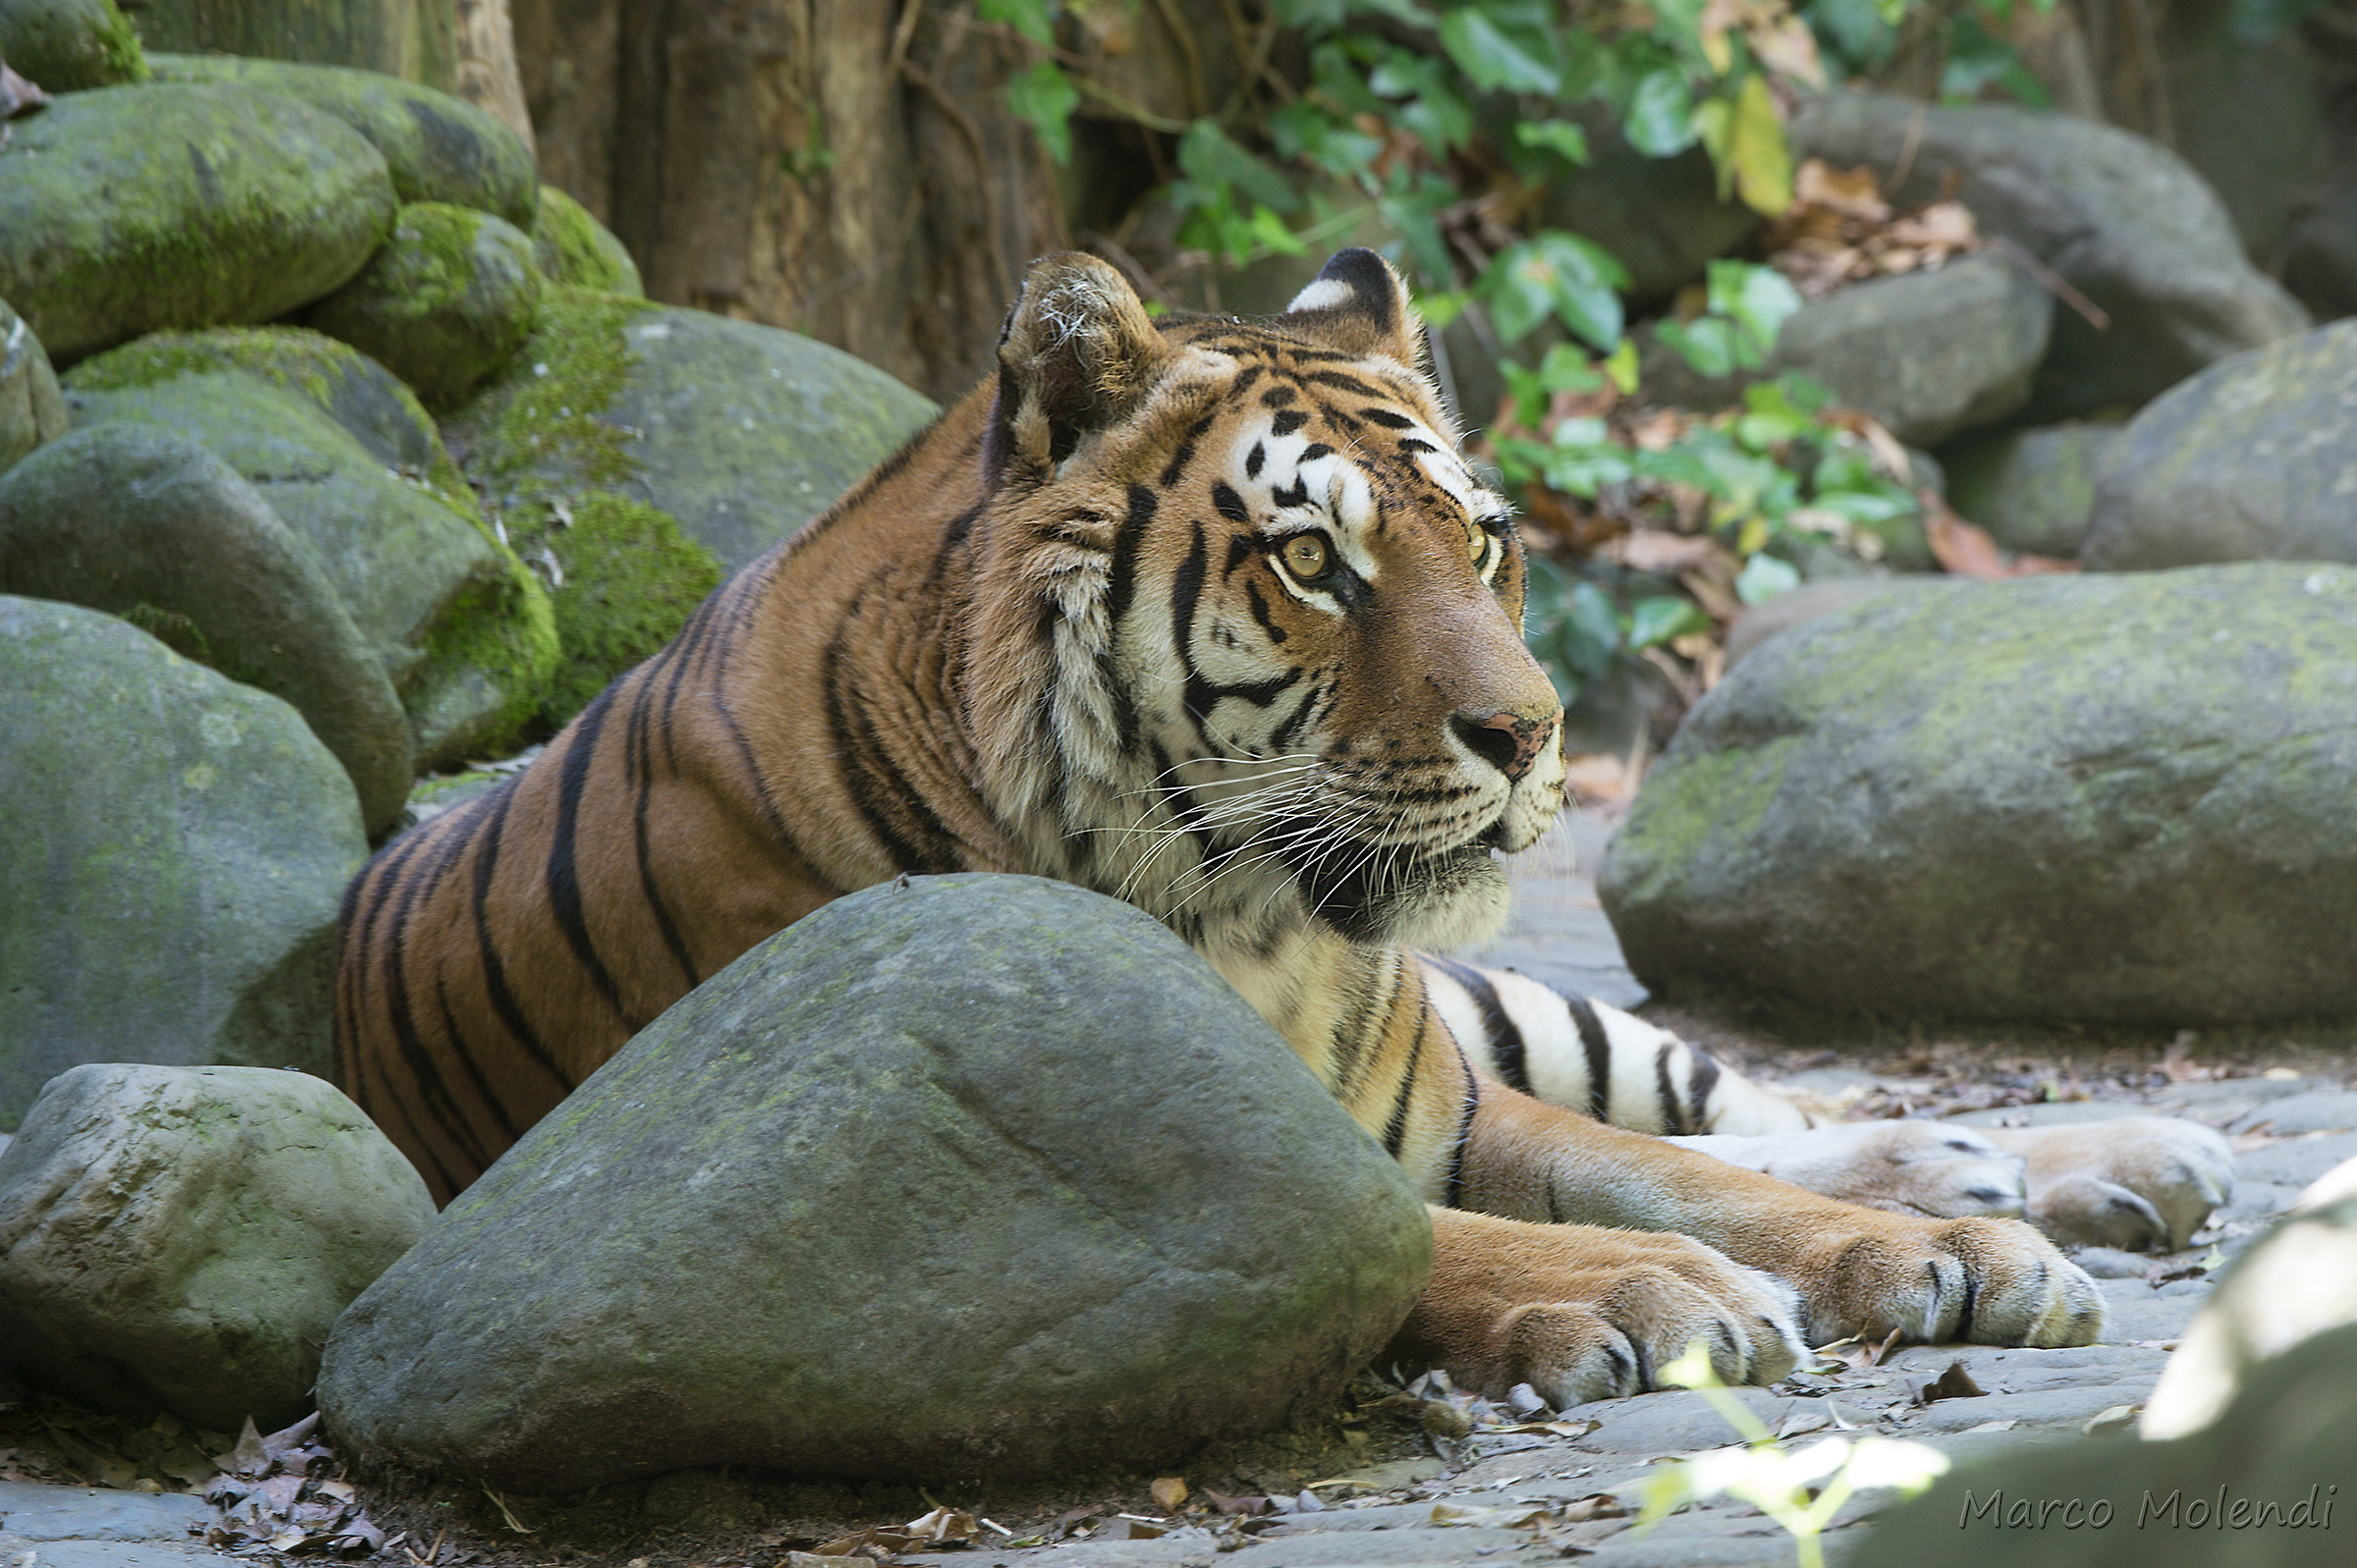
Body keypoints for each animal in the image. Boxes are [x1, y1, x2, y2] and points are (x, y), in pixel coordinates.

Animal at [341, 248, 2224, 1406]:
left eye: (1484, 542)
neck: (1250, 922)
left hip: (1515, 1019)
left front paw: (1945, 1252)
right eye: (1314, 559)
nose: (1533, 734)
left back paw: (2078, 1167)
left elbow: (1688, 1169)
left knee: (1756, 1098)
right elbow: (1469, 1239)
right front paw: (1664, 1292)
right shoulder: (1139, 1186)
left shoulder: (1444, 1100)